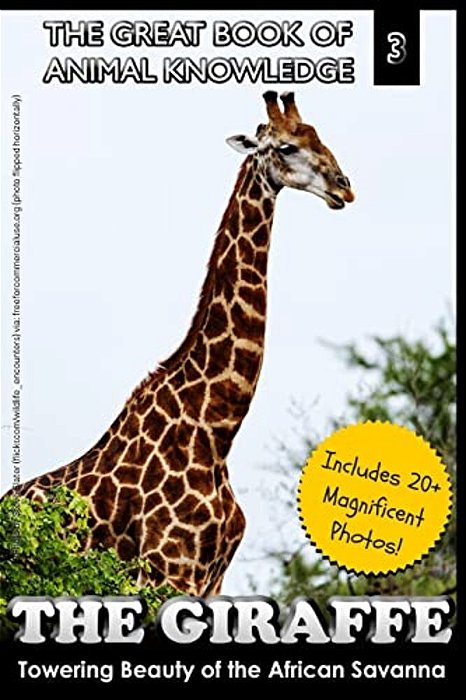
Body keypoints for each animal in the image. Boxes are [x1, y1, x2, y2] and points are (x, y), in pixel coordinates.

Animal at [7, 92, 354, 596]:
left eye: (318, 136)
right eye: (287, 147)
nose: (344, 187)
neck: (215, 430)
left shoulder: (214, 580)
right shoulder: (167, 571)